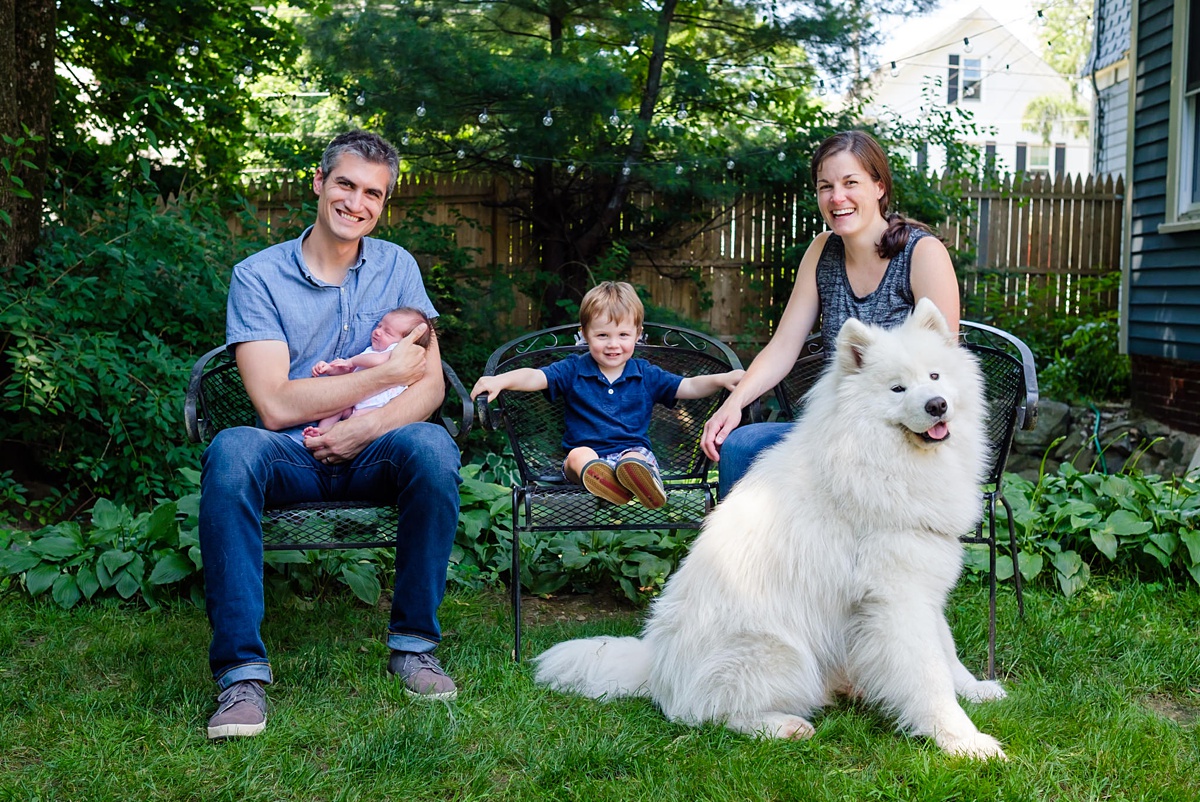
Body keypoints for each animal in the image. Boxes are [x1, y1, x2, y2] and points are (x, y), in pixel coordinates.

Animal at [540, 298, 1008, 758]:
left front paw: (976, 691)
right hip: (780, 652)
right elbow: (928, 674)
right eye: (897, 389)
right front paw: (964, 741)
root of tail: (656, 665)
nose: (937, 405)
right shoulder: (897, 598)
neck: (880, 461)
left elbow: (946, 652)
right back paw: (783, 726)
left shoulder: (922, 588)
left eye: (934, 376)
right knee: (702, 714)